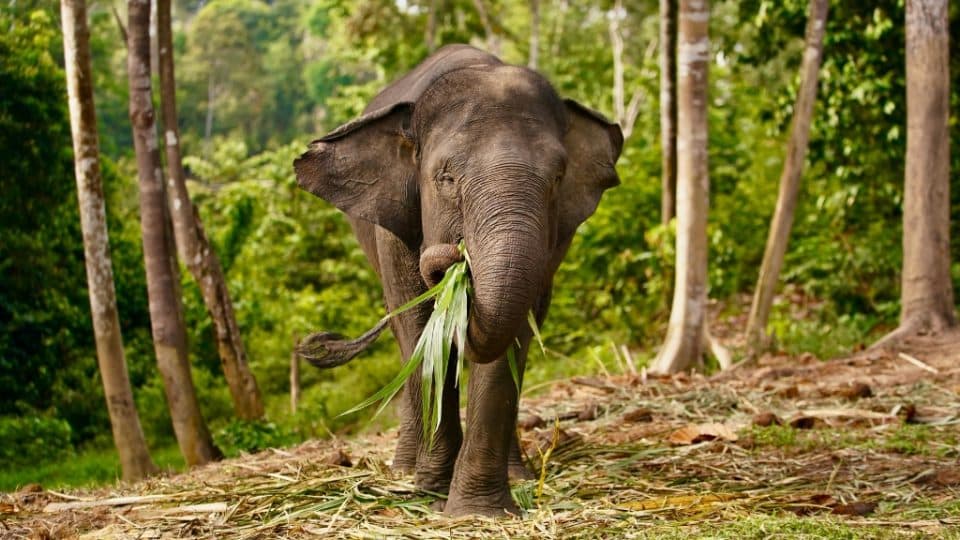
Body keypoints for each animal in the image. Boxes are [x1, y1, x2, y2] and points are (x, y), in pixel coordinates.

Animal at [294, 44, 622, 517]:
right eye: (446, 178)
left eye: (559, 178)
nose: (453, 256)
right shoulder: (394, 230)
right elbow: (418, 325)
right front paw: (431, 490)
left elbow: (514, 332)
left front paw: (476, 510)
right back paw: (405, 469)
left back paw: (516, 474)